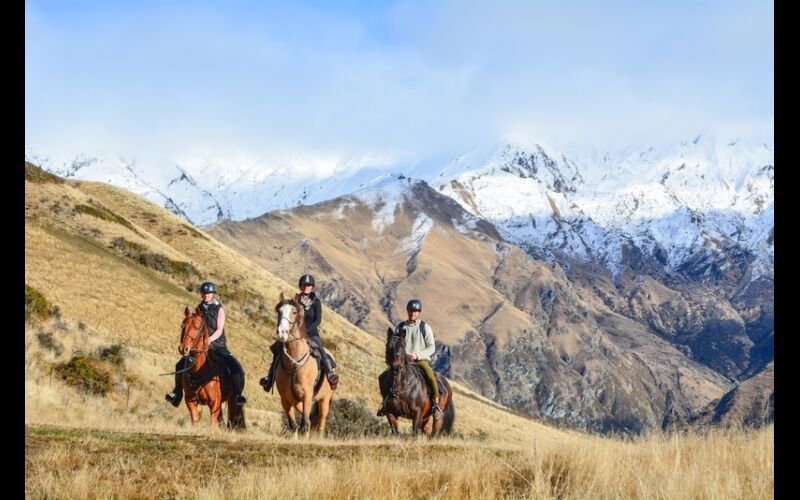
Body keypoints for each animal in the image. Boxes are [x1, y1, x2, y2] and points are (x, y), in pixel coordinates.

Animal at [276, 292, 336, 438]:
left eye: (294, 312)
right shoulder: (285, 399)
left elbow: (305, 424)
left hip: (324, 400)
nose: (282, 333)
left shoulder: (307, 396)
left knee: (320, 424)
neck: (293, 364)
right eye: (279, 311)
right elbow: (293, 425)